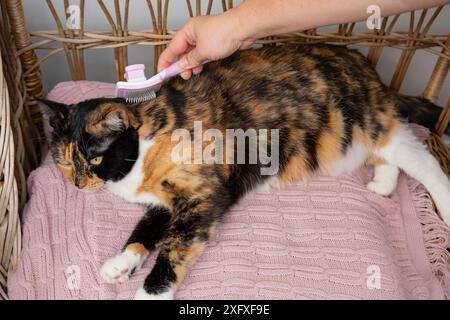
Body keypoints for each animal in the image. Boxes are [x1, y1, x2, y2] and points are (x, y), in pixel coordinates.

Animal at [39, 43, 450, 298]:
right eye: (64, 161)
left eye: (95, 159)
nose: (79, 184)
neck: (143, 142)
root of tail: (367, 66)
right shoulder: (164, 202)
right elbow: (145, 231)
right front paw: (121, 262)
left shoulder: (202, 196)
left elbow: (173, 250)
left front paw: (148, 293)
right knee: (388, 154)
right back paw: (382, 183)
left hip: (363, 121)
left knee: (419, 157)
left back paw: (442, 202)